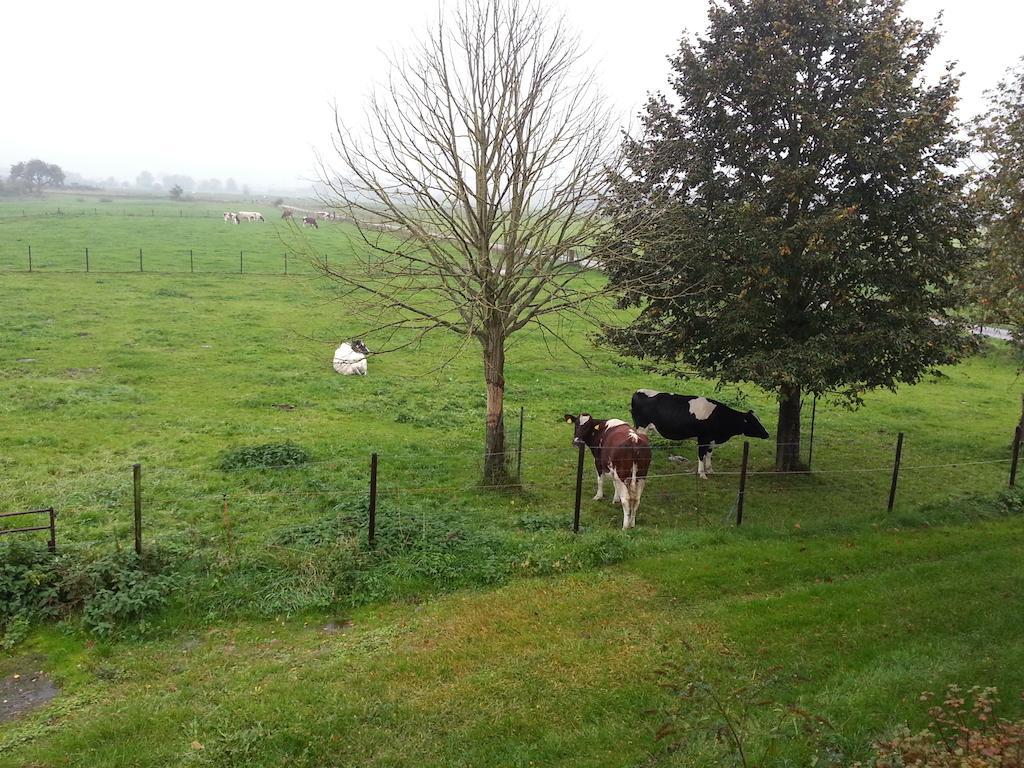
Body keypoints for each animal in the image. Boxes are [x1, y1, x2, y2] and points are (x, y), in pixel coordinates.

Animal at [630, 391, 770, 481]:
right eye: (754, 423)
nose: (766, 434)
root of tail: (638, 391)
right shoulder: (703, 438)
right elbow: (701, 455)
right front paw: (702, 474)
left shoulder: (711, 439)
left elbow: (709, 455)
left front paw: (710, 470)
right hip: (641, 428)